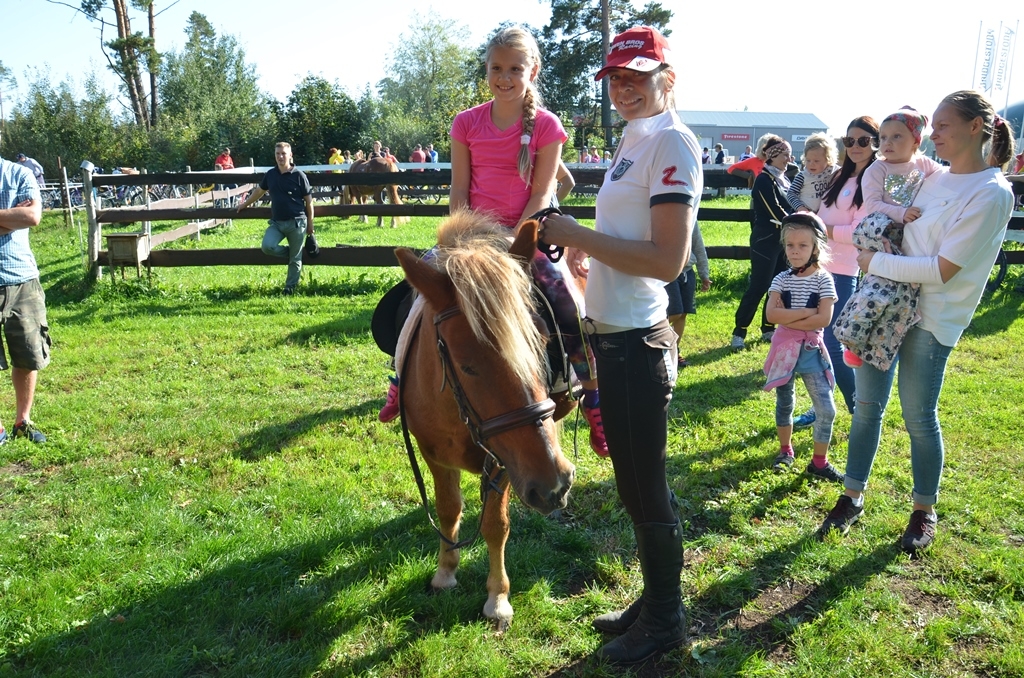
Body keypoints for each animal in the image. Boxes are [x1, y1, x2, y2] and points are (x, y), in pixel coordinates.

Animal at [393, 210, 577, 630]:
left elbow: (496, 525)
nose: (554, 484)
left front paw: (497, 598)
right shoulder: (434, 454)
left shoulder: (507, 463)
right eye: (466, 365)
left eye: (543, 342)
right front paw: (445, 572)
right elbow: (448, 509)